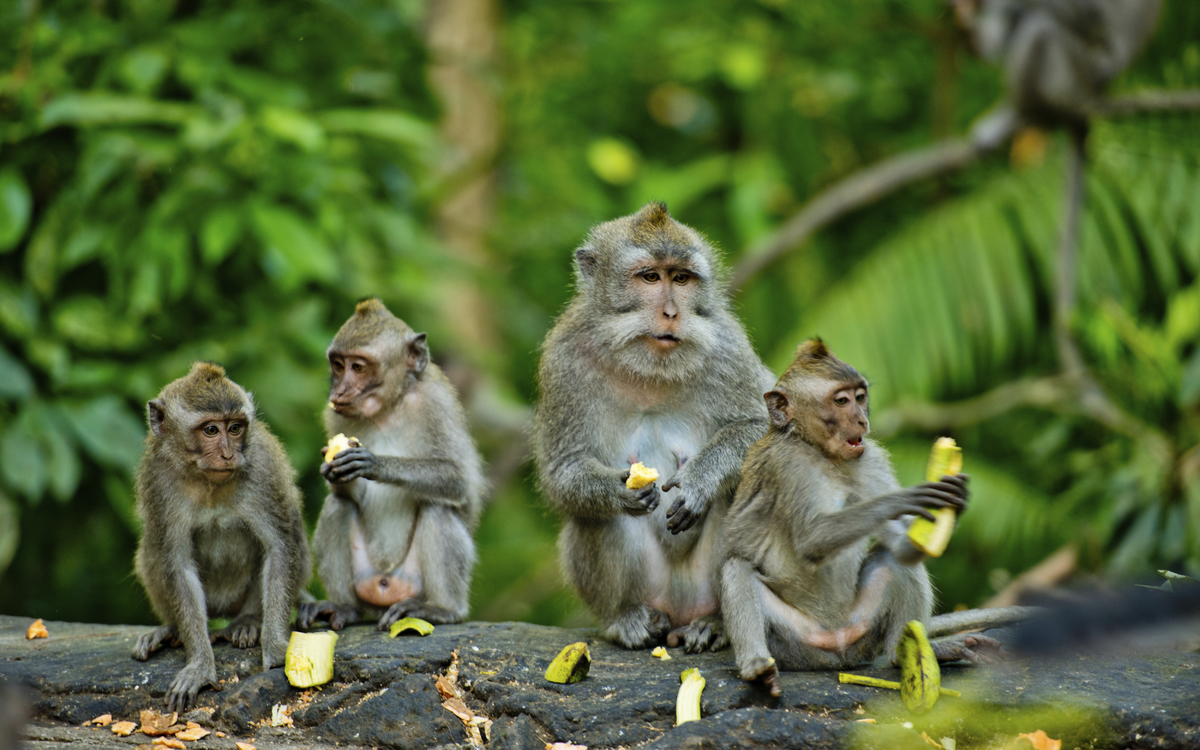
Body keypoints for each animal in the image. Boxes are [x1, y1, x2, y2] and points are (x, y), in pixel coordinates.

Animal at [131, 362, 311, 712]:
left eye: (236, 428)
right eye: (211, 430)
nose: (228, 454)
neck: (206, 480)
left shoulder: (262, 469)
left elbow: (279, 548)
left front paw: (275, 648)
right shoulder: (159, 480)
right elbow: (178, 565)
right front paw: (200, 664)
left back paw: (248, 622)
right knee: (151, 549)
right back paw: (170, 629)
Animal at [296, 298, 485, 633]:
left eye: (358, 367)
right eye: (338, 365)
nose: (338, 391)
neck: (388, 408)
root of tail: (385, 585)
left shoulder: (435, 404)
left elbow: (458, 480)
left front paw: (375, 463)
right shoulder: (335, 416)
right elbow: (344, 495)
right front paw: (332, 472)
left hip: (412, 581)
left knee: (438, 508)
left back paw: (442, 609)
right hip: (366, 579)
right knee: (337, 507)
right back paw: (344, 608)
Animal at [532, 202, 776, 651]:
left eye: (680, 278)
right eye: (650, 277)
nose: (672, 313)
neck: (649, 368)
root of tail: (679, 610)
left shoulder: (728, 347)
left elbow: (762, 429)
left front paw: (699, 480)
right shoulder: (563, 359)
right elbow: (564, 471)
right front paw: (616, 490)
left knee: (741, 491)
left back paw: (716, 622)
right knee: (595, 516)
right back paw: (626, 619)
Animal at [720, 340, 1003, 696]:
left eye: (860, 396)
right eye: (841, 401)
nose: (861, 422)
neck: (819, 452)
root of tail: (836, 645)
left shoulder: (871, 459)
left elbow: (902, 548)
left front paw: (958, 500)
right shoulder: (787, 465)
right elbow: (812, 538)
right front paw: (904, 499)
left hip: (863, 629)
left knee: (893, 560)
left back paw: (908, 652)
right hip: (794, 642)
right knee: (737, 567)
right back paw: (757, 667)